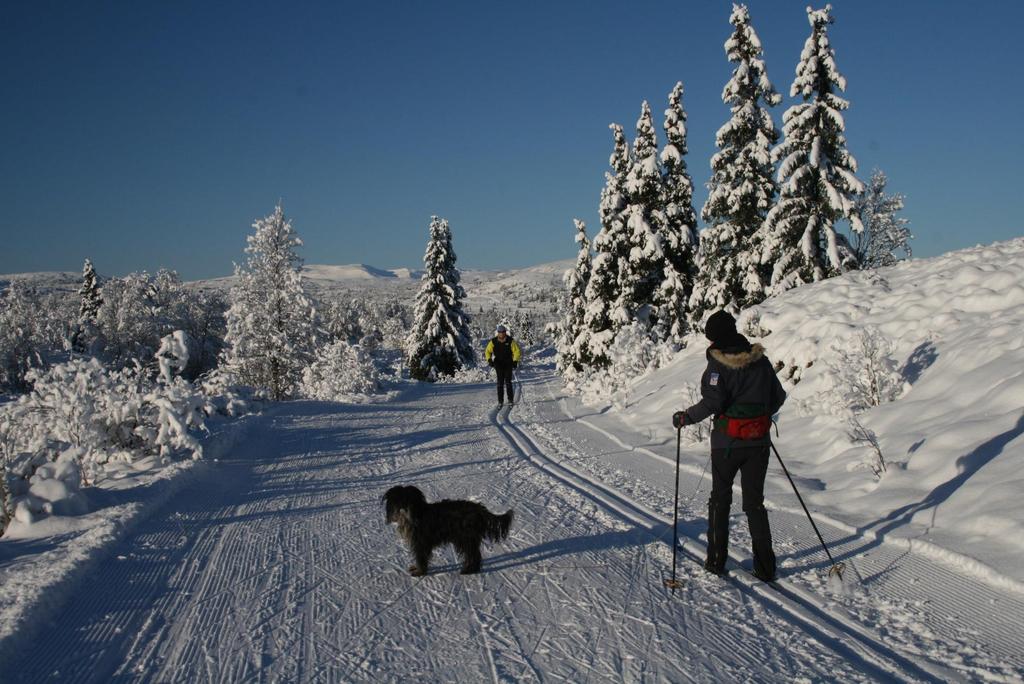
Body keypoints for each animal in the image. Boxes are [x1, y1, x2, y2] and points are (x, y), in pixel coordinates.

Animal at [382, 483, 516, 573]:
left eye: (409, 499)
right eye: (397, 500)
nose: (403, 508)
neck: (414, 515)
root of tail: (479, 509)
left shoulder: (421, 542)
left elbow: (421, 558)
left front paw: (419, 572)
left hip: (466, 538)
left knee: (474, 555)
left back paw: (469, 570)